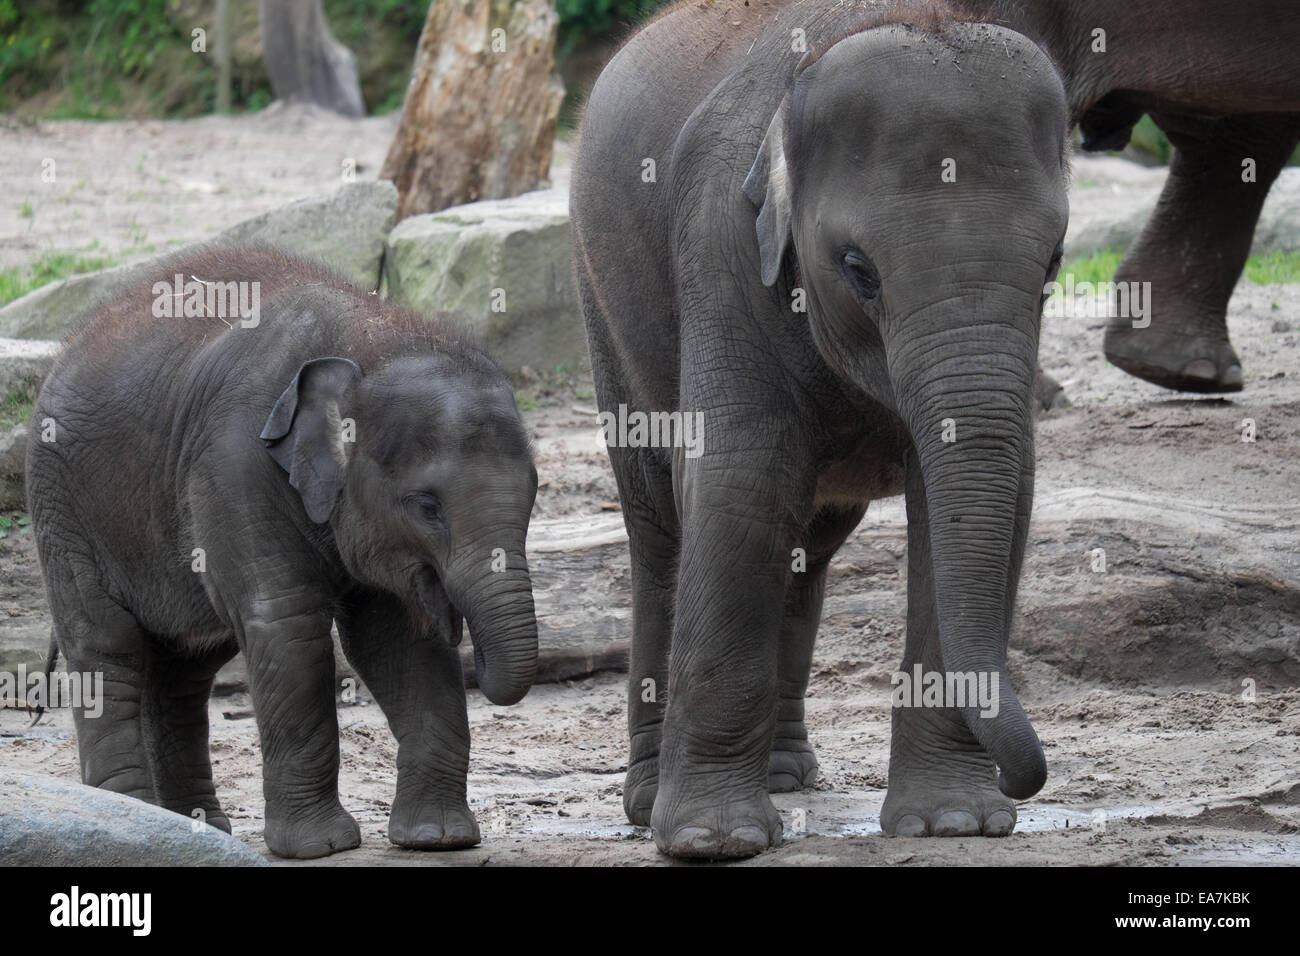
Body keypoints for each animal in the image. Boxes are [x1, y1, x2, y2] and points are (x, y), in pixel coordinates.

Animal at [27, 247, 540, 858]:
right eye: (426, 506)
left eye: (536, 490)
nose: (464, 631)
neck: (374, 337)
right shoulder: (233, 464)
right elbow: (287, 628)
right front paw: (321, 848)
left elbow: (397, 641)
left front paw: (437, 839)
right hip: (64, 508)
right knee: (108, 646)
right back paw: (134, 815)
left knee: (184, 667)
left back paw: (194, 825)